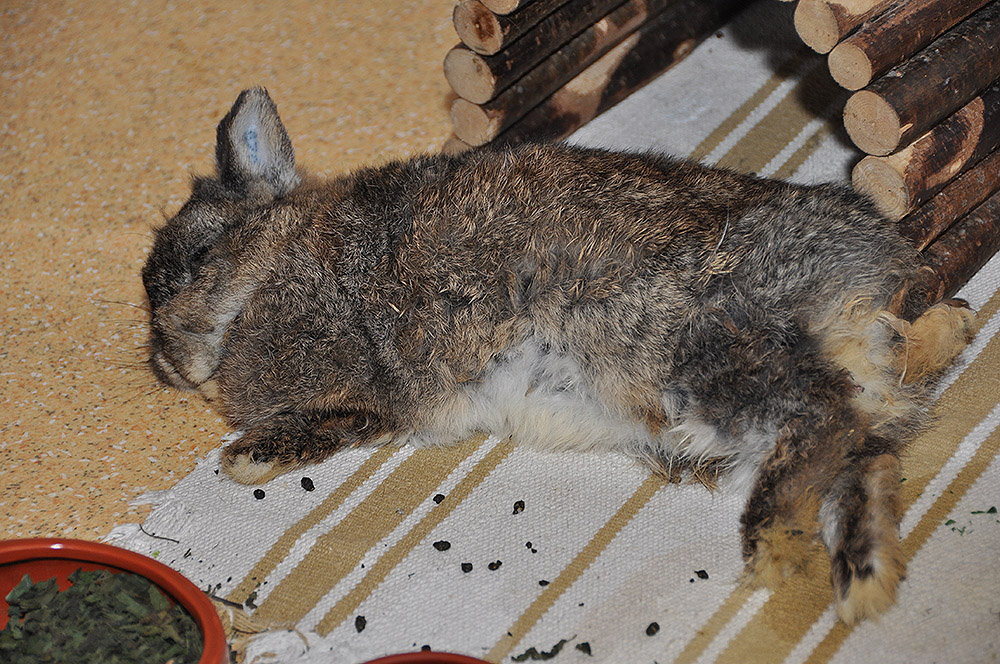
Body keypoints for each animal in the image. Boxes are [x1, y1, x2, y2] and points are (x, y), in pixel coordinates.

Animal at [145, 87, 972, 624]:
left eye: (201, 257)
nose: (166, 361)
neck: (279, 262)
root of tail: (858, 274)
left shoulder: (362, 379)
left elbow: (319, 422)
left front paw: (241, 459)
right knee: (871, 450)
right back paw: (867, 574)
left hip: (705, 358)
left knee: (823, 419)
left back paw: (776, 552)